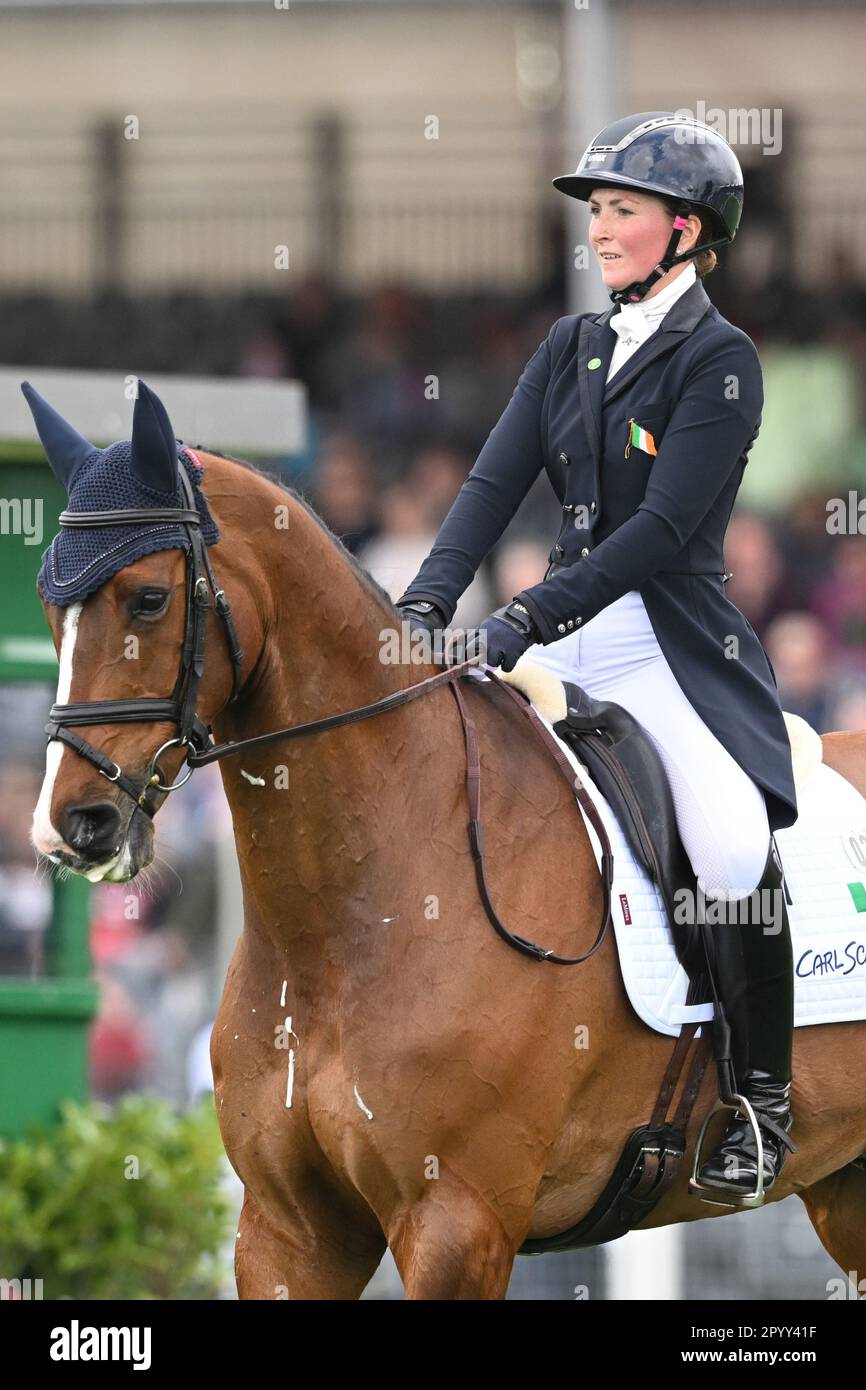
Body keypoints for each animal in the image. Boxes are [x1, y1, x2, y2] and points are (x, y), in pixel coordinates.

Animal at [32, 442, 866, 1289]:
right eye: (47, 604)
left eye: (148, 599)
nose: (73, 824)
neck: (338, 930)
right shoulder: (289, 1230)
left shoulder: (458, 1224)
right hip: (846, 1193)